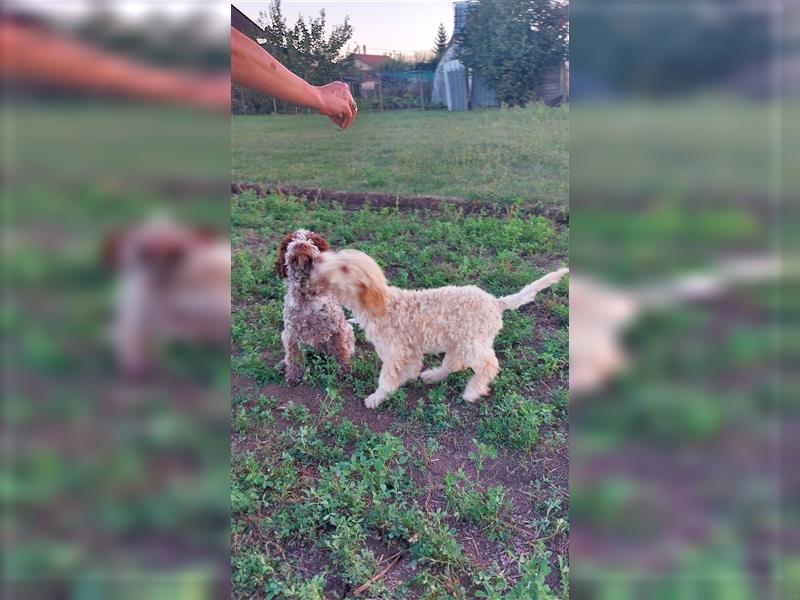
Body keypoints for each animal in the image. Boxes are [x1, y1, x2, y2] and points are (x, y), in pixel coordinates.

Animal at [276, 230, 354, 384]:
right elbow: (293, 356)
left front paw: (344, 371)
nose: (301, 245)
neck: (306, 292)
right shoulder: (291, 332)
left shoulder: (337, 328)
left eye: (313, 241)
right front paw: (293, 376)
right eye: (290, 241)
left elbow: (340, 351)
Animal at [312, 247, 568, 408]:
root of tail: (496, 302)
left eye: (345, 268)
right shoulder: (410, 349)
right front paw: (406, 379)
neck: (381, 305)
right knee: (454, 363)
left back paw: (472, 391)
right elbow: (411, 368)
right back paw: (433, 376)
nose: (319, 261)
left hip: (471, 342)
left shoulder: (396, 352)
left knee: (488, 364)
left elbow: (387, 378)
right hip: (457, 341)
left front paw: (377, 398)